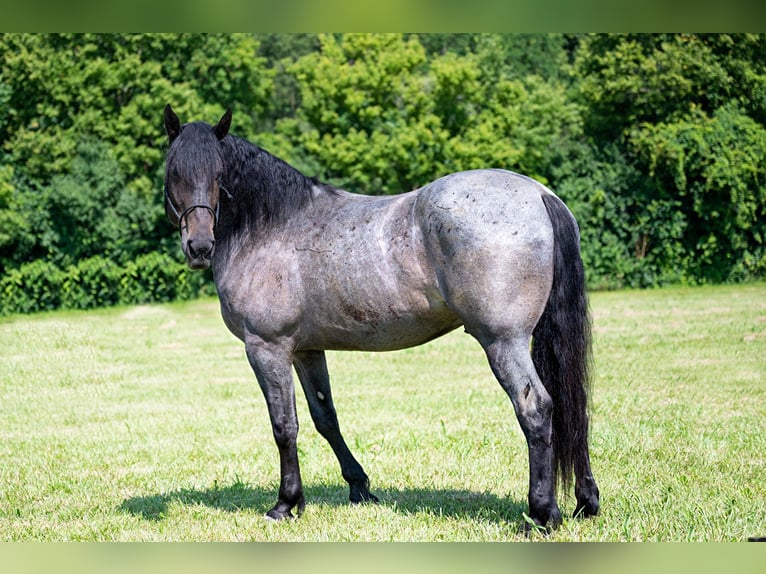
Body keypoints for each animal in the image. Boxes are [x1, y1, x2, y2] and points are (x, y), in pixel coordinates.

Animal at [164, 107, 608, 532]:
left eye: (219, 175)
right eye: (174, 172)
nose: (199, 246)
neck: (270, 226)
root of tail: (539, 194)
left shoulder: (266, 348)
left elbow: (284, 425)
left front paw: (286, 503)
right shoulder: (307, 350)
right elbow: (325, 418)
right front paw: (358, 486)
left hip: (503, 341)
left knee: (536, 409)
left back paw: (542, 514)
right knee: (572, 407)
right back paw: (585, 503)